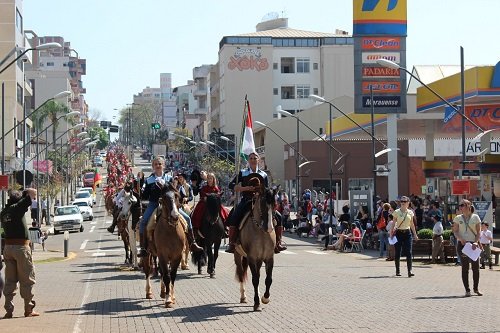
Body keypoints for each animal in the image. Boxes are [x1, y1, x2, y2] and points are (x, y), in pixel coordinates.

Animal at [234, 184, 278, 312]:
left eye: (275, 203)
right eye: (263, 203)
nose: (269, 227)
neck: (261, 231)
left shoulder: (269, 257)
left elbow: (268, 279)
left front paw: (265, 298)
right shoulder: (251, 258)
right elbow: (255, 280)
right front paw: (257, 303)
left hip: (259, 260)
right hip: (238, 255)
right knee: (241, 273)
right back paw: (243, 296)